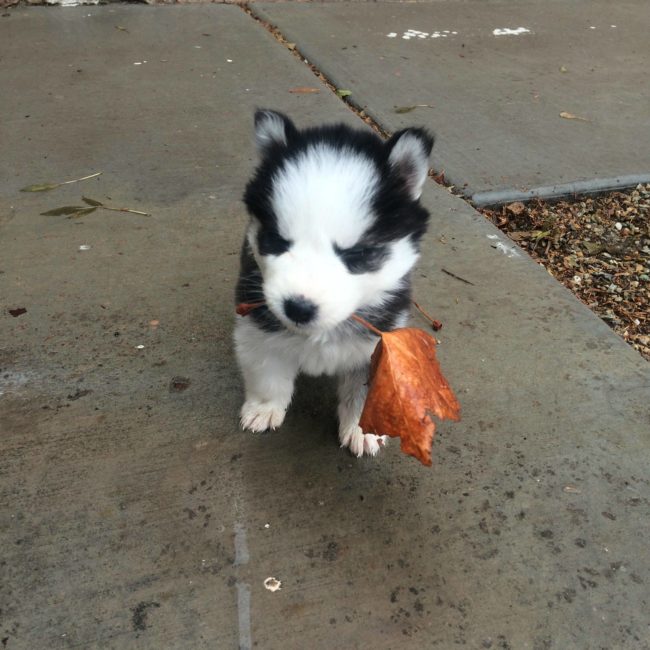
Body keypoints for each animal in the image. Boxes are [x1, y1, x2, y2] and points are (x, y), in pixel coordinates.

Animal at [235, 109, 432, 456]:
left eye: (358, 253)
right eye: (276, 240)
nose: (298, 308)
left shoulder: (378, 344)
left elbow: (365, 393)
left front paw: (363, 429)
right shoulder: (256, 327)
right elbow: (268, 373)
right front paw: (264, 408)